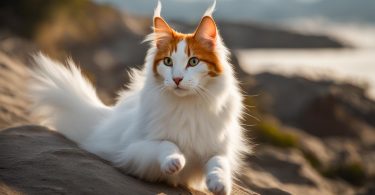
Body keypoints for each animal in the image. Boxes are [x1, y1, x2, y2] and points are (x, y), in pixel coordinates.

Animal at [30, 1, 251, 195]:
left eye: (194, 61)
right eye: (168, 62)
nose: (177, 79)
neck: (187, 105)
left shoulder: (219, 149)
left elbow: (219, 163)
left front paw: (219, 183)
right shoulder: (133, 152)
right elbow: (166, 144)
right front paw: (175, 161)